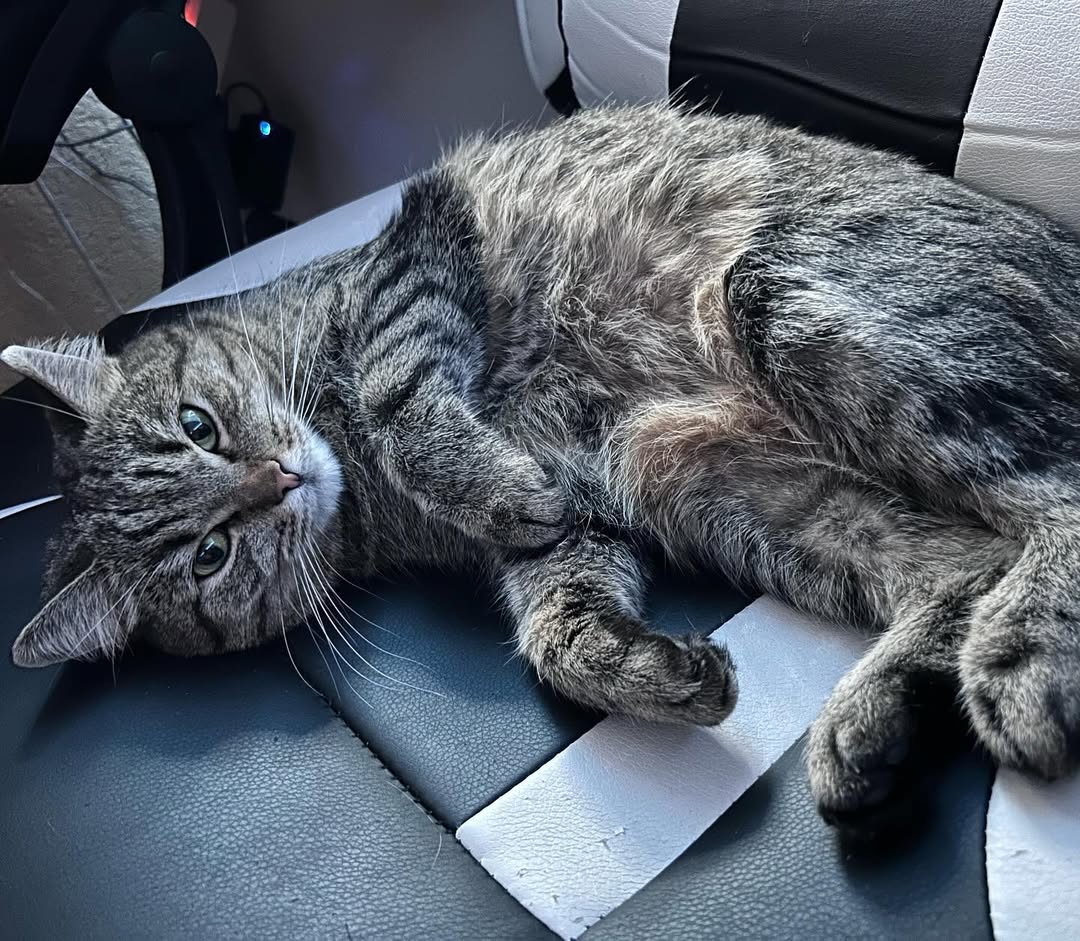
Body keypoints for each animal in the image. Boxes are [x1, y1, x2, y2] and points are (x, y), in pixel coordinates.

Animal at [5, 104, 1080, 833]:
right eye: (209, 555)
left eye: (199, 424)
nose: (280, 479)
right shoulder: (582, 521)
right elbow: (557, 627)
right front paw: (645, 669)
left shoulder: (410, 255)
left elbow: (400, 391)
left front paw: (483, 476)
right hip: (712, 478)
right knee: (963, 566)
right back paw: (871, 724)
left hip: (787, 302)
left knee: (1054, 498)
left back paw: (1021, 658)